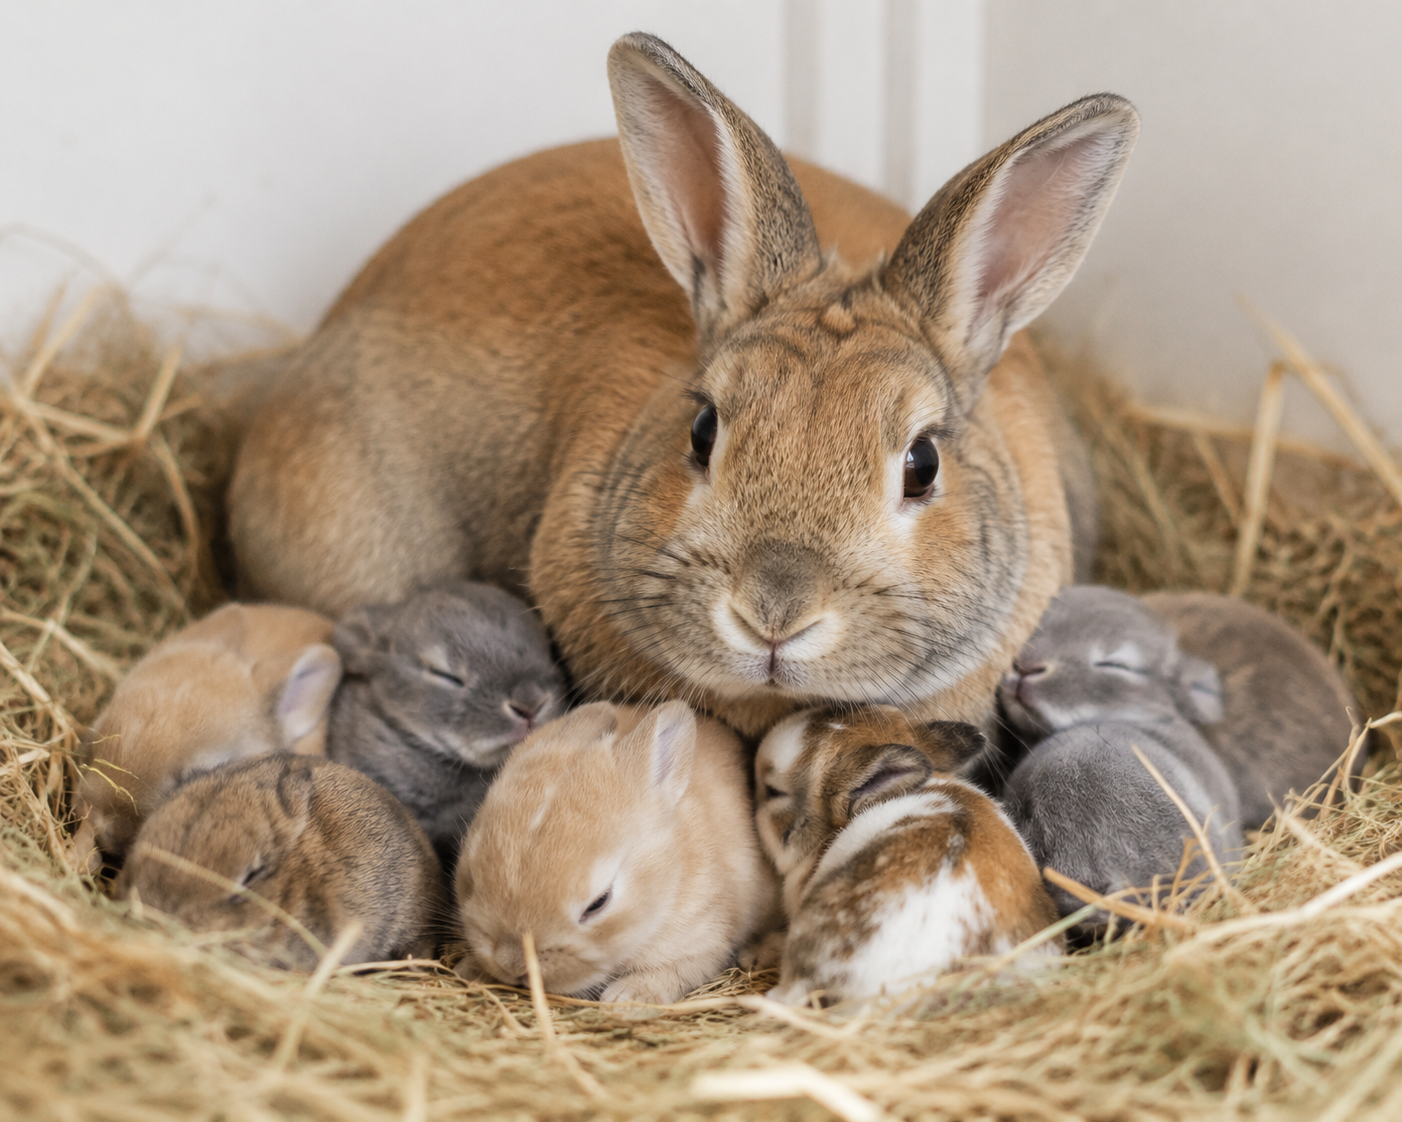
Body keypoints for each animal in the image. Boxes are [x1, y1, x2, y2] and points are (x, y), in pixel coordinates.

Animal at [456, 700, 780, 1008]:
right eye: (471, 878)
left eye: (599, 903)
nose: (512, 963)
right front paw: (470, 969)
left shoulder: (704, 939)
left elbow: (673, 971)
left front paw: (627, 998)